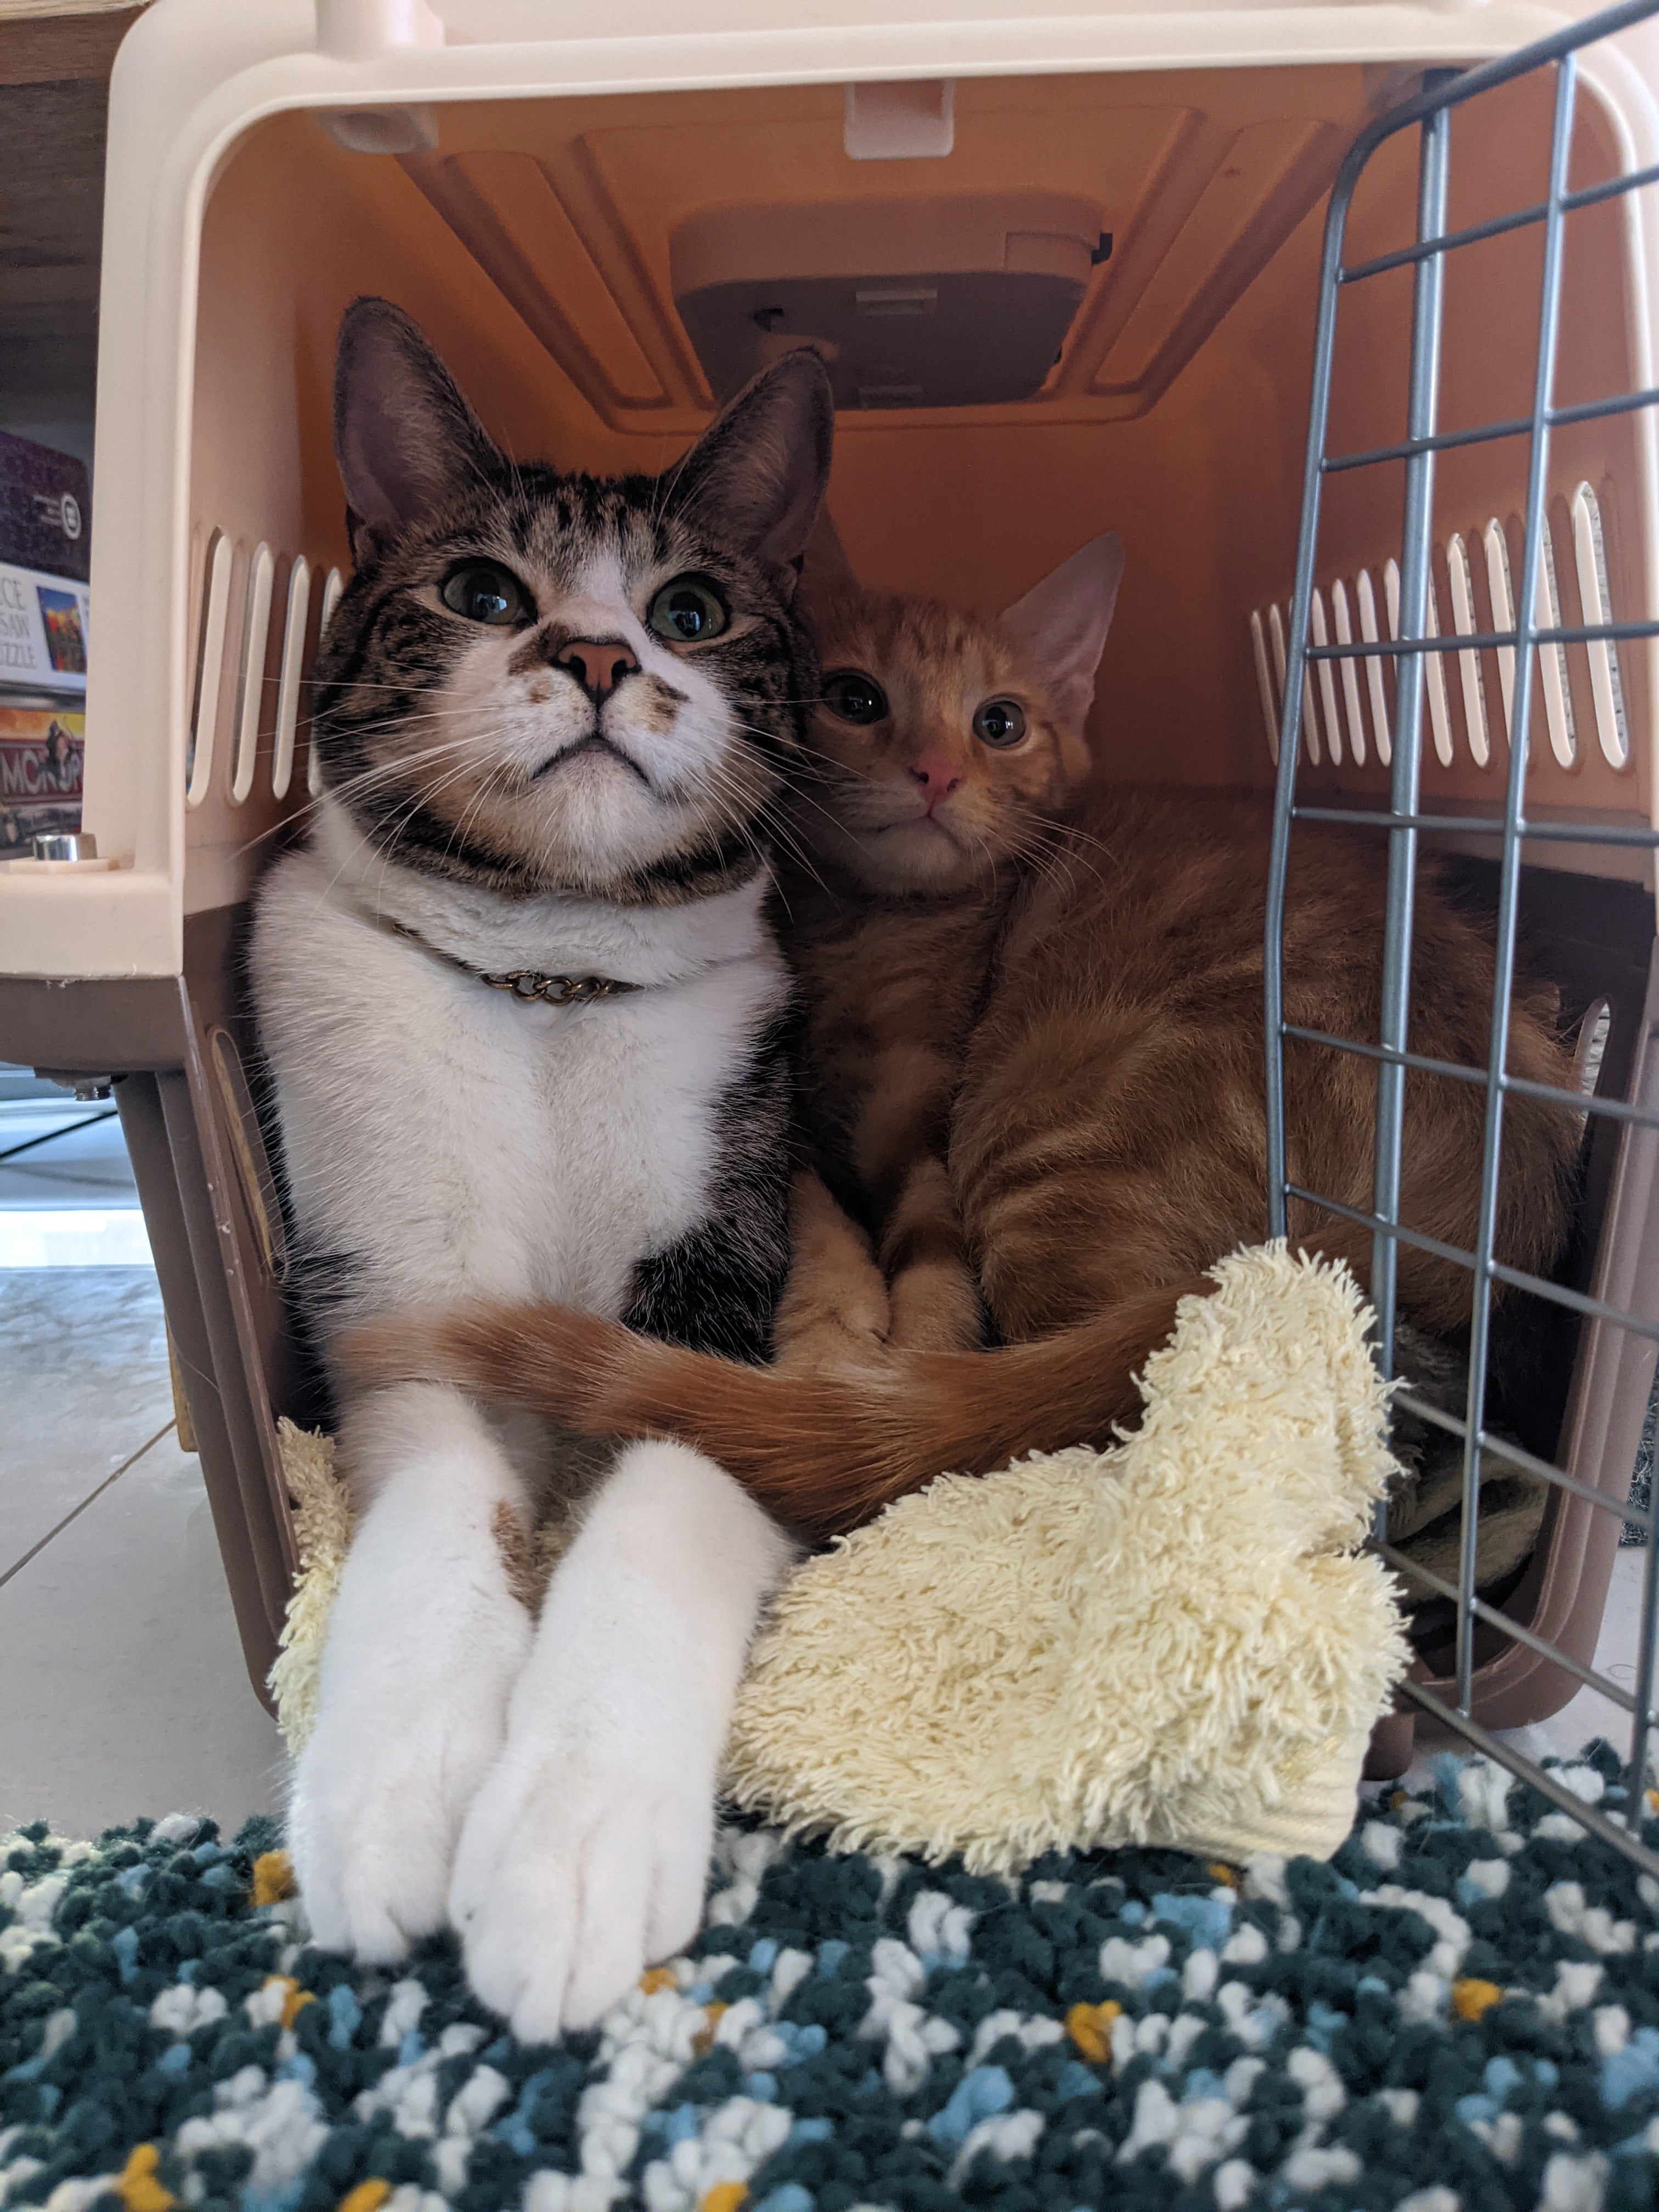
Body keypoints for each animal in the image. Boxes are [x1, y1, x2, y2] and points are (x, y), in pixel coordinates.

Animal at [354, 535, 1583, 1539]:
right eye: (852, 698)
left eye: (999, 722)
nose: (939, 772)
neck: (866, 933)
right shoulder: (789, 1115)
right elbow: (822, 1220)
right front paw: (833, 1324)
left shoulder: (924, 1130)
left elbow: (930, 1285)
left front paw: (872, 1365)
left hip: (1041, 1142)